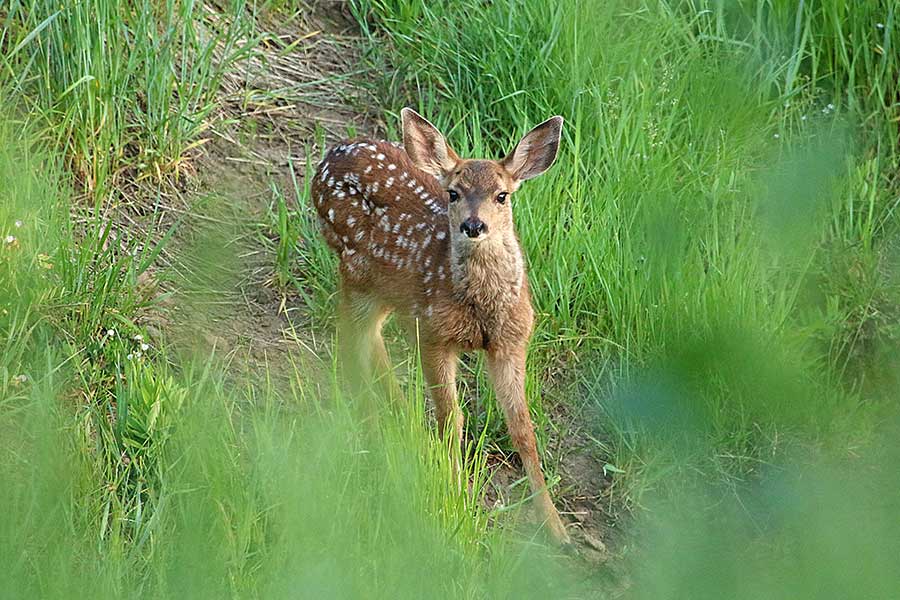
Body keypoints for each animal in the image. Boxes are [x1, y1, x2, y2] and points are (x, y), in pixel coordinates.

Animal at [312, 106, 568, 544]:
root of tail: (330, 154)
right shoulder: (435, 335)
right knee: (351, 343)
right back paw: (374, 432)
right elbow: (452, 420)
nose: (473, 225)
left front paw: (556, 527)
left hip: (388, 289)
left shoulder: (510, 342)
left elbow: (523, 428)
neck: (481, 308)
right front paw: (460, 496)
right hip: (355, 270)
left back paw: (401, 416)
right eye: (453, 193)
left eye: (503, 195)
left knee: (372, 337)